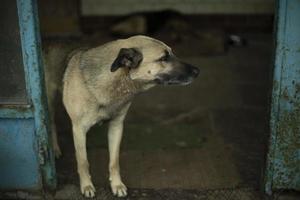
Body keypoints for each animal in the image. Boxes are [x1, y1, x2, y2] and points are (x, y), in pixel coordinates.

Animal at [56, 35, 199, 197]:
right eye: (164, 58)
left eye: (171, 53)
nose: (197, 71)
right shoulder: (78, 130)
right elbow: (83, 162)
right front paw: (87, 186)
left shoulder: (116, 126)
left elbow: (114, 161)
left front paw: (117, 185)